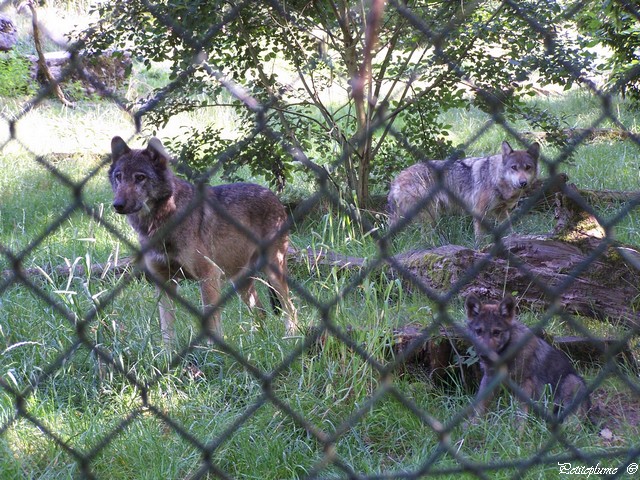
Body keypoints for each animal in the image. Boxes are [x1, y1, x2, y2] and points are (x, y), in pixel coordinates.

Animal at [109, 135, 298, 344]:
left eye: (140, 177)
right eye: (118, 177)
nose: (117, 205)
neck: (161, 222)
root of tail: (272, 194)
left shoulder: (209, 276)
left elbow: (212, 324)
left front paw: (213, 350)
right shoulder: (164, 282)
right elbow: (166, 331)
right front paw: (168, 352)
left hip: (273, 272)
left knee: (290, 308)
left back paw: (291, 337)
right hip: (240, 281)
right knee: (260, 311)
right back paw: (256, 342)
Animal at [384, 142, 540, 240]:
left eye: (528, 167)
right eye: (514, 168)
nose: (523, 183)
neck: (494, 177)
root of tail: (396, 180)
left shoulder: (501, 211)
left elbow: (510, 229)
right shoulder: (479, 211)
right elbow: (479, 236)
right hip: (431, 214)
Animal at [462, 292, 592, 424]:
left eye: (496, 332)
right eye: (478, 331)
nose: (484, 355)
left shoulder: (525, 383)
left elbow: (520, 416)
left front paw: (518, 430)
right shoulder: (490, 378)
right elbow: (479, 407)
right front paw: (472, 426)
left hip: (571, 383)